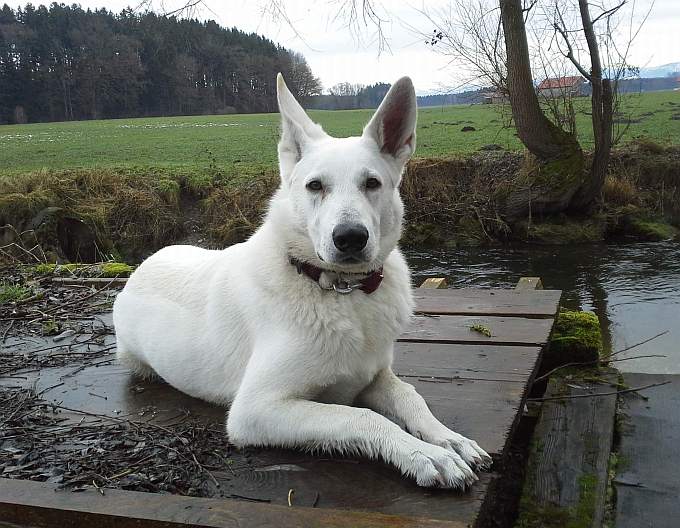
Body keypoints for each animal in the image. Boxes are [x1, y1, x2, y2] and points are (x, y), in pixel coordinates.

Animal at [115, 72, 488, 488]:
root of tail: (144, 265)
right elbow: (360, 415)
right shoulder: (257, 409)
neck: (341, 289)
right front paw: (424, 454)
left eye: (372, 183)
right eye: (315, 185)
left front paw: (448, 439)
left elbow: (411, 396)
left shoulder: (377, 377)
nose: (350, 238)